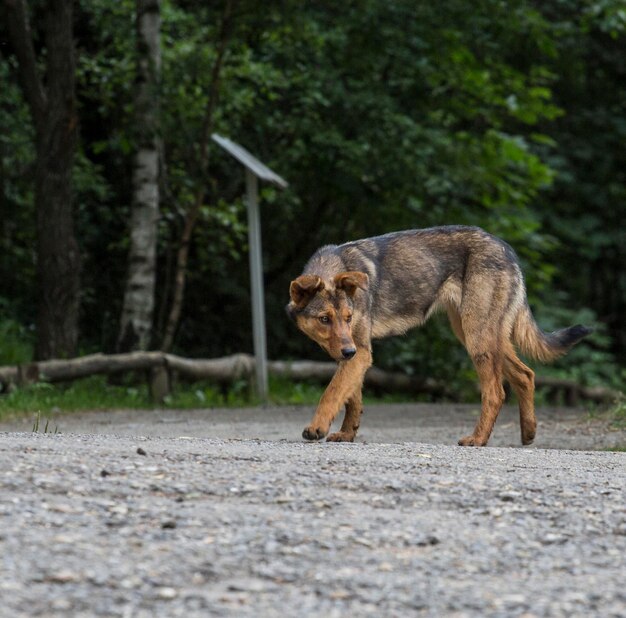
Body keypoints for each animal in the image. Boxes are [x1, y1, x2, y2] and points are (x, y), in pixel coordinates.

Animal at [286, 225, 588, 442]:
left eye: (347, 318)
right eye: (325, 319)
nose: (347, 351)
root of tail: (506, 249)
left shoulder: (359, 353)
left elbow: (331, 393)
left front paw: (316, 428)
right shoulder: (356, 355)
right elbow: (351, 399)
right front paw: (347, 433)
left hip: (477, 339)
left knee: (496, 393)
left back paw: (477, 440)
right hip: (481, 335)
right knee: (525, 375)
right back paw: (528, 434)